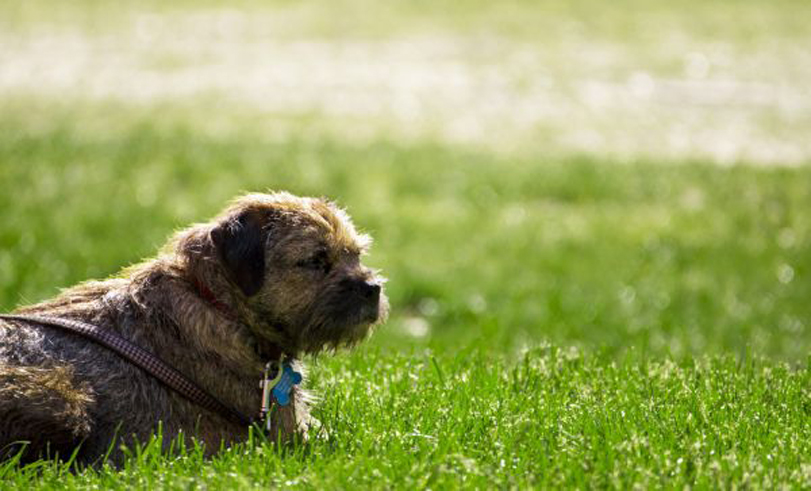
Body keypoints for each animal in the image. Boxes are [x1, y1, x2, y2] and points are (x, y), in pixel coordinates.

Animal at [0, 192, 388, 466]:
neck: (219, 304)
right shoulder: (290, 437)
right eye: (316, 260)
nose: (373, 288)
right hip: (67, 398)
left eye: (356, 254)